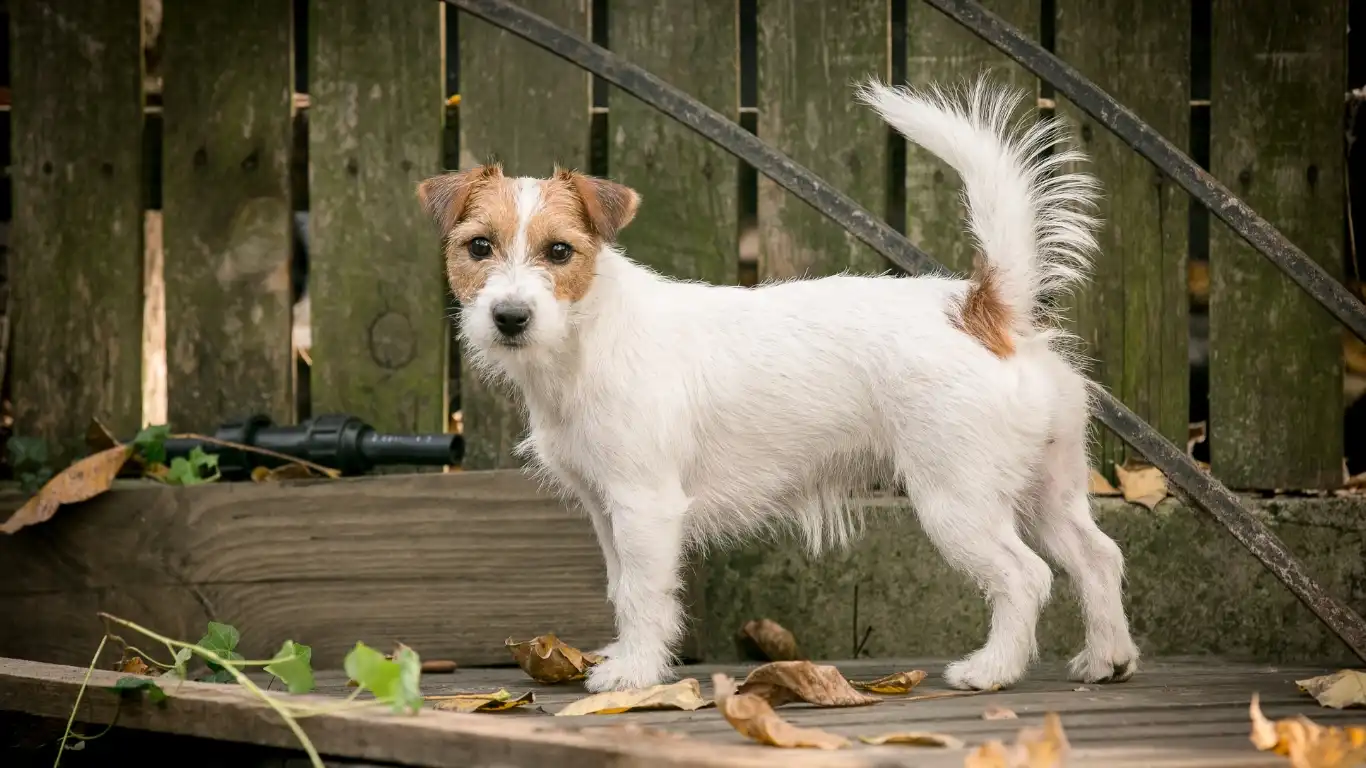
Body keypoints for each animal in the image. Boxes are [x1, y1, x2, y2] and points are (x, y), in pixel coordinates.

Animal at [417, 76, 1141, 688]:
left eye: (560, 251)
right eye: (478, 247)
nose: (510, 317)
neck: (588, 337)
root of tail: (982, 309)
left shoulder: (645, 506)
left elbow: (646, 592)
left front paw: (635, 675)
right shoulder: (606, 508)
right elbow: (623, 589)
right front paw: (628, 657)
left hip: (957, 499)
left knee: (1026, 576)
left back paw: (992, 670)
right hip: (1048, 489)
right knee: (1097, 556)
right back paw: (1107, 659)